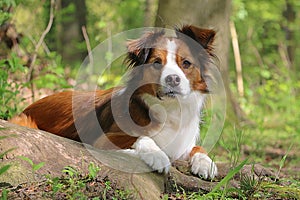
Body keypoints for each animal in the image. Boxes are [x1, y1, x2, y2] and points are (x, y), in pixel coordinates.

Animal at [11, 25, 218, 180]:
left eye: (186, 63)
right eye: (157, 62)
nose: (173, 79)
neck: (170, 109)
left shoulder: (184, 142)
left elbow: (198, 148)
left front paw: (206, 163)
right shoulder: (103, 138)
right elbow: (142, 137)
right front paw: (157, 154)